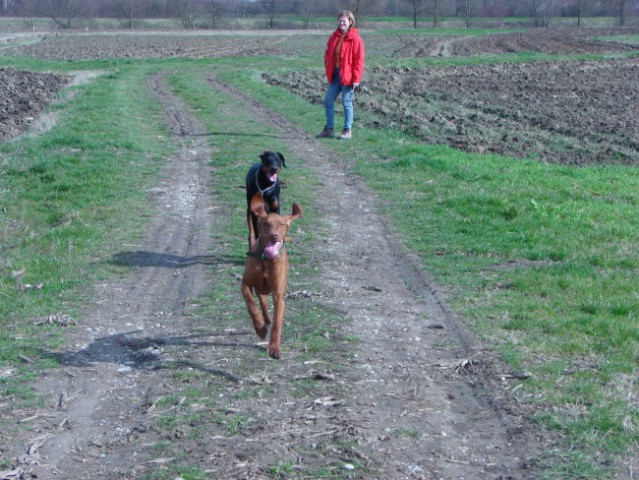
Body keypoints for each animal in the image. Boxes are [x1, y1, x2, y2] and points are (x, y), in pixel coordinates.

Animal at [241, 193, 304, 358]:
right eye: (266, 224)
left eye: (282, 224)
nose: (274, 235)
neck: (266, 260)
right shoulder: (245, 285)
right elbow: (251, 305)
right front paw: (260, 329)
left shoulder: (278, 295)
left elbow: (277, 324)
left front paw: (274, 348)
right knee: (261, 299)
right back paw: (265, 321)